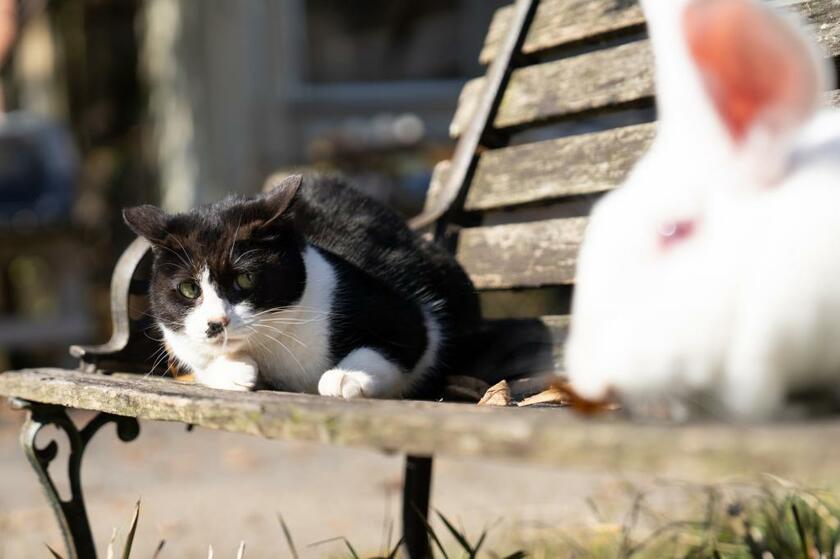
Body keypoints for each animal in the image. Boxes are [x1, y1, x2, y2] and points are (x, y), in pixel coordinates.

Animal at [124, 174, 480, 398]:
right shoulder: (179, 341)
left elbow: (406, 339)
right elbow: (198, 359)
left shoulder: (406, 314)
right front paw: (234, 371)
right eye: (189, 289)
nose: (216, 323)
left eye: (245, 279)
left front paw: (346, 376)